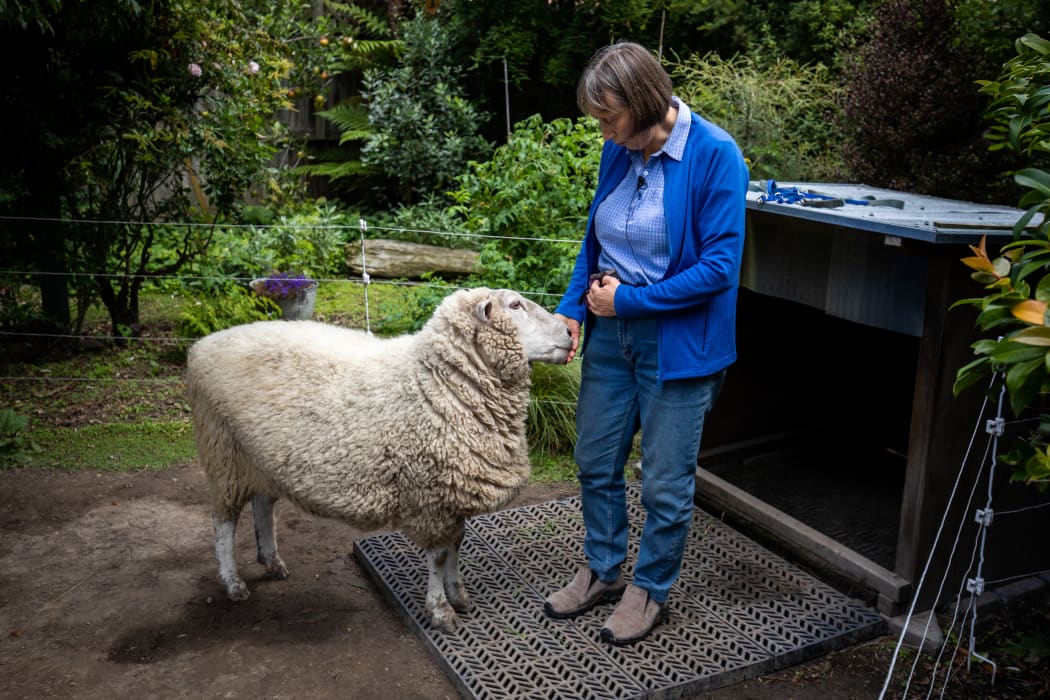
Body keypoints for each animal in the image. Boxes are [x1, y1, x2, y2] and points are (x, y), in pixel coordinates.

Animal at [182, 287, 575, 633]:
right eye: (515, 305)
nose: (571, 334)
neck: (437, 383)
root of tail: (201, 346)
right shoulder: (431, 496)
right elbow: (439, 556)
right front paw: (440, 610)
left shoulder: (451, 493)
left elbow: (457, 545)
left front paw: (458, 594)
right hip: (224, 454)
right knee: (222, 524)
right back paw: (233, 582)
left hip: (261, 458)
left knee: (263, 505)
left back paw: (272, 561)